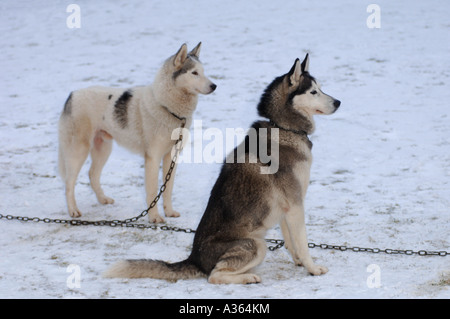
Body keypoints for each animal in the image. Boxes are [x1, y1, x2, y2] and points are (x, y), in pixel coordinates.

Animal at [58, 42, 216, 222]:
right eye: (194, 73)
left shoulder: (171, 158)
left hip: (103, 149)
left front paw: (169, 212)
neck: (166, 106)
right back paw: (73, 211)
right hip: (78, 151)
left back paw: (103, 199)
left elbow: (167, 190)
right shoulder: (153, 158)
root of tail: (72, 95)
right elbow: (153, 191)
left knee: (92, 174)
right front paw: (154, 218)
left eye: (203, 71)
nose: (214, 86)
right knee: (69, 182)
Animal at [103, 53, 340, 284]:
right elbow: (303, 243)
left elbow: (291, 241)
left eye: (321, 88)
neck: (282, 127)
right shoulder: (295, 204)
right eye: (313, 91)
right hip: (257, 244)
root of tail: (195, 259)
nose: (338, 101)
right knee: (214, 276)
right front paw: (313, 268)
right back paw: (249, 277)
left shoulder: (286, 208)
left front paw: (299, 262)